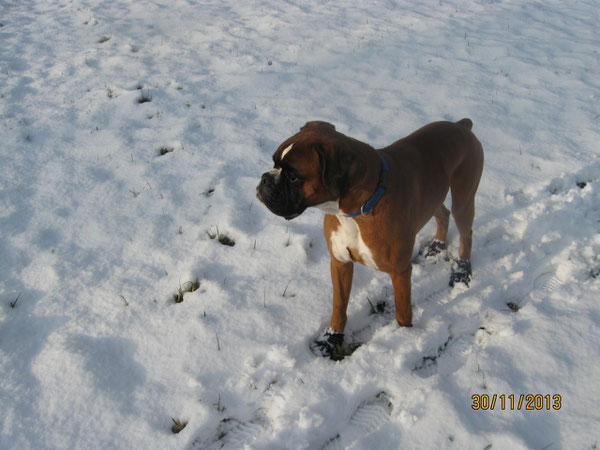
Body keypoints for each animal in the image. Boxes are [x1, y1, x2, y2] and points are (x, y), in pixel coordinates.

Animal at [256, 119, 482, 358]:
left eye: (293, 176)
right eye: (274, 162)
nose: (265, 178)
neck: (356, 210)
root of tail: (460, 125)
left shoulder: (400, 272)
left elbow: (403, 313)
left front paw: (403, 338)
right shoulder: (340, 263)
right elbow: (339, 306)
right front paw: (331, 339)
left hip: (463, 198)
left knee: (466, 233)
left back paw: (462, 271)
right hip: (434, 196)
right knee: (442, 214)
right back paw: (436, 247)